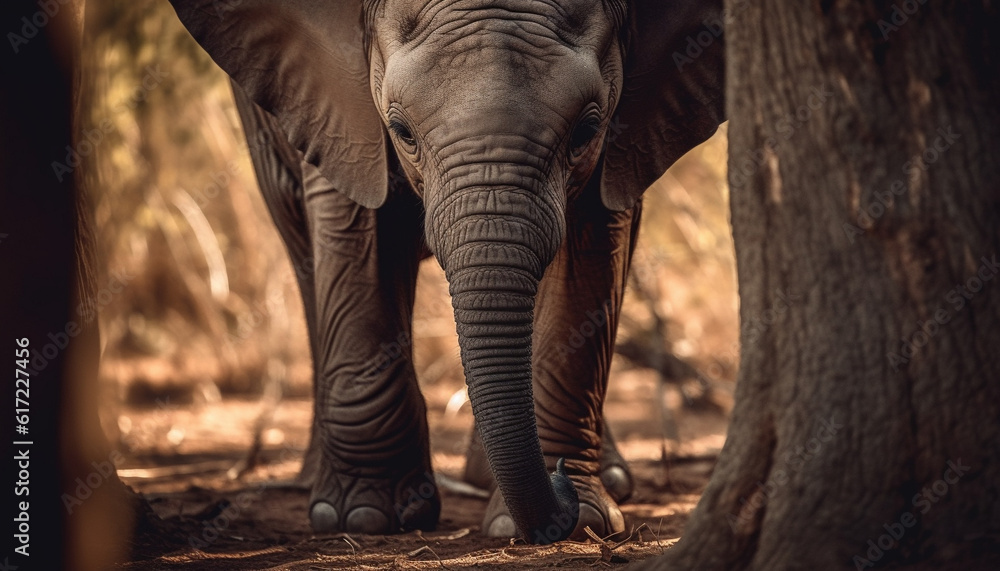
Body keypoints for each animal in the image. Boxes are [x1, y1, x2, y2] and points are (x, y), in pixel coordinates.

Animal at [168, 0, 724, 544]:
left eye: (586, 131)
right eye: (402, 131)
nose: (559, 477)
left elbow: (593, 244)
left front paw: (581, 517)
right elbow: (358, 228)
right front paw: (364, 516)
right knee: (302, 252)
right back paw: (316, 484)